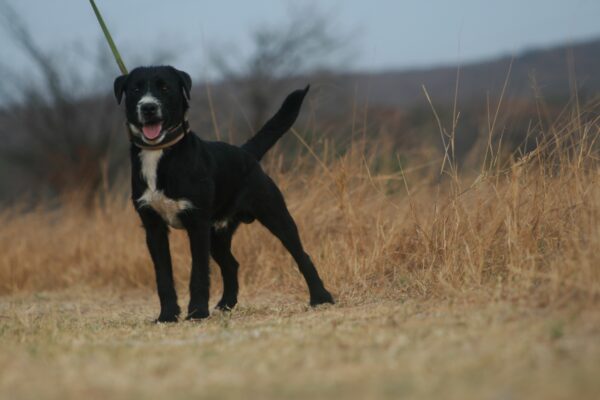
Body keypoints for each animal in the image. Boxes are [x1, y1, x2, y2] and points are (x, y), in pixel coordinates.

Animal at [115, 65, 336, 322]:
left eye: (164, 87)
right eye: (135, 89)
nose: (148, 107)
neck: (160, 154)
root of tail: (246, 152)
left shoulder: (197, 224)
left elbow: (199, 273)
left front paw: (197, 312)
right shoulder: (153, 227)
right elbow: (163, 276)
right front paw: (167, 315)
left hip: (276, 216)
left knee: (302, 255)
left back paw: (321, 297)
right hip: (218, 234)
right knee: (232, 264)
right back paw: (226, 304)